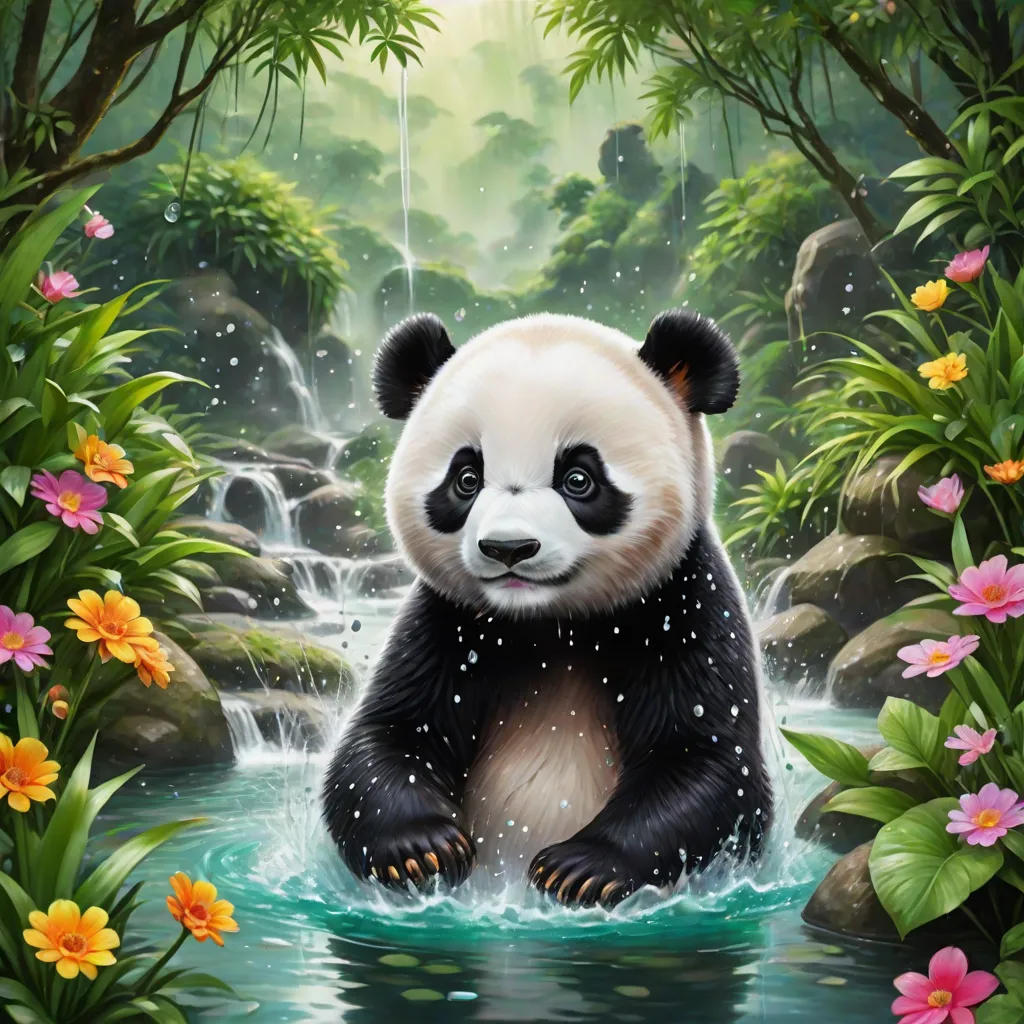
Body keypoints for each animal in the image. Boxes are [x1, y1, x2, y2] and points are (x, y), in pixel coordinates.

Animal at [323, 308, 771, 908]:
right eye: (466, 478)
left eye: (578, 478)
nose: (508, 548)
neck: (551, 625)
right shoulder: (448, 622)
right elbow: (389, 734)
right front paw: (422, 849)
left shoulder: (681, 602)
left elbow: (708, 757)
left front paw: (581, 869)